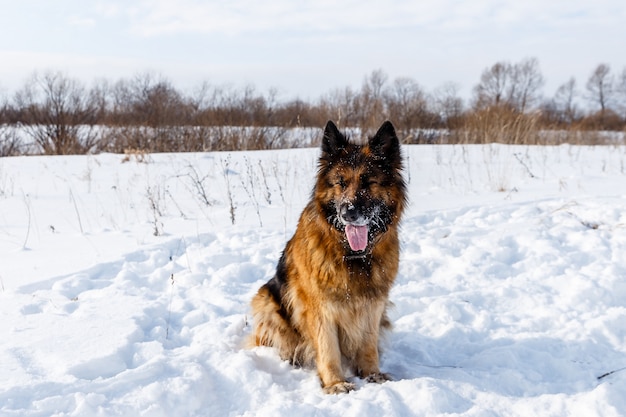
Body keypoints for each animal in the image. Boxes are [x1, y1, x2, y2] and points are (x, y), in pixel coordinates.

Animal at [249, 120, 404, 394]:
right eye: (340, 183)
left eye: (368, 182)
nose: (348, 213)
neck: (352, 257)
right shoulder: (319, 308)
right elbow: (328, 348)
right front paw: (335, 383)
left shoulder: (373, 304)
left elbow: (368, 345)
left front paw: (371, 375)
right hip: (266, 300)